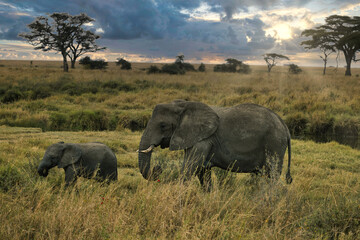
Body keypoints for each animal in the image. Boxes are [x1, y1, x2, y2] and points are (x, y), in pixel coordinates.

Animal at [138, 100, 292, 189]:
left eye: (163, 126)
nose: (158, 168)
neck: (184, 105)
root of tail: (284, 124)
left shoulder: (203, 139)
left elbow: (190, 167)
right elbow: (202, 171)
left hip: (274, 144)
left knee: (272, 174)